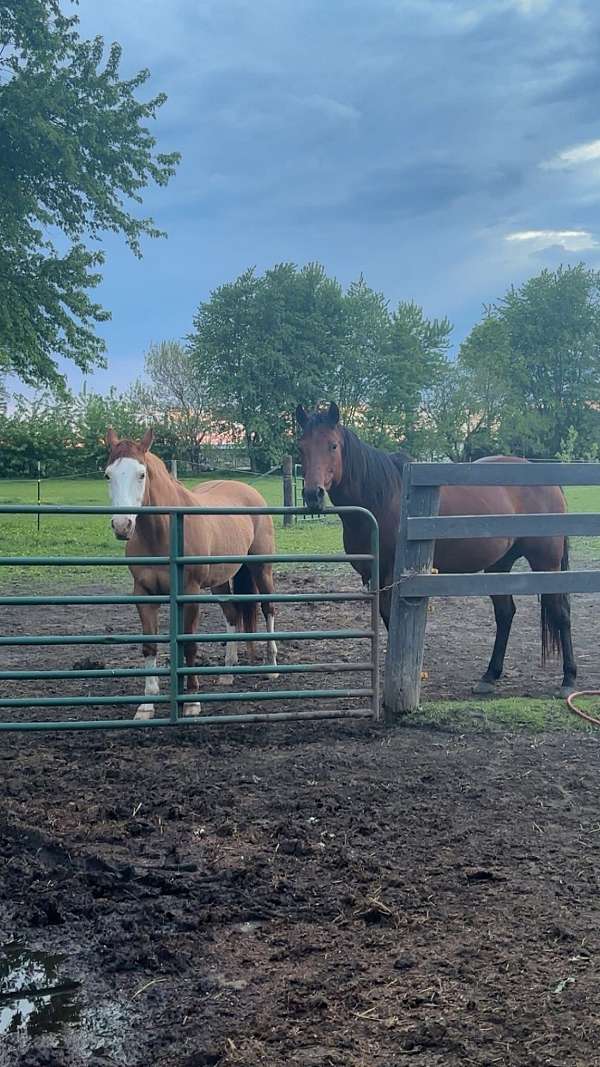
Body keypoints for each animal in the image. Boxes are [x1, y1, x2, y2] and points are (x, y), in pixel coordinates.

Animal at [105, 428, 278, 719]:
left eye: (141, 474)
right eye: (108, 474)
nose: (122, 525)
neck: (164, 532)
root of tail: (248, 490)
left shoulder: (189, 591)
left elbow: (189, 643)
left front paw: (192, 702)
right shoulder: (144, 593)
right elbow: (150, 646)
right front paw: (146, 705)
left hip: (261, 569)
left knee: (268, 609)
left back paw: (272, 666)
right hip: (220, 582)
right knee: (233, 615)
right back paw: (228, 673)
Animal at [296, 402, 576, 698]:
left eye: (333, 445)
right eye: (301, 447)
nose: (313, 495)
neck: (384, 498)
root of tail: (547, 479)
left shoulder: (393, 574)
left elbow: (392, 619)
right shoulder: (373, 575)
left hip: (546, 563)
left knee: (560, 612)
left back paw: (568, 679)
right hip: (499, 565)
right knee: (505, 613)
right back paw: (489, 676)